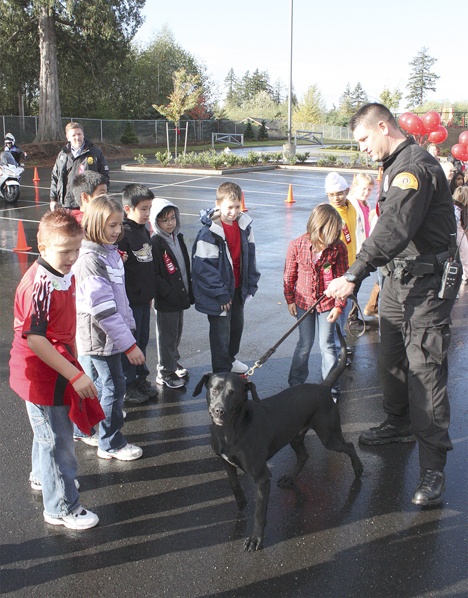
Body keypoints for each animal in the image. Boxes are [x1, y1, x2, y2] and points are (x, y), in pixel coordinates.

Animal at [193, 328, 362, 552]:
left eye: (234, 393)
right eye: (214, 389)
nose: (219, 410)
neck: (231, 430)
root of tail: (324, 386)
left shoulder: (262, 477)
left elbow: (259, 512)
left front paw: (256, 539)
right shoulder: (226, 462)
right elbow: (233, 484)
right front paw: (241, 503)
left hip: (329, 436)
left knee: (349, 445)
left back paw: (358, 469)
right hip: (295, 436)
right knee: (304, 456)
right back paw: (290, 478)